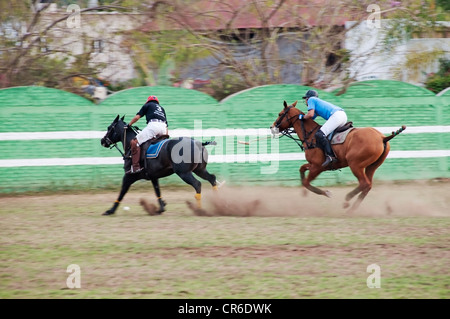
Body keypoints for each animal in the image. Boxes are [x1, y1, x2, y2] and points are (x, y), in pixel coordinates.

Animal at [270, 101, 408, 212]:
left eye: (280, 114)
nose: (272, 127)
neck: (310, 136)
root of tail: (382, 138)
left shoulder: (318, 167)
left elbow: (306, 182)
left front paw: (326, 193)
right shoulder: (315, 165)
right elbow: (302, 169)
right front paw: (304, 193)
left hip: (355, 165)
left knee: (364, 183)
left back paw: (347, 201)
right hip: (371, 166)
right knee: (368, 185)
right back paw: (352, 209)